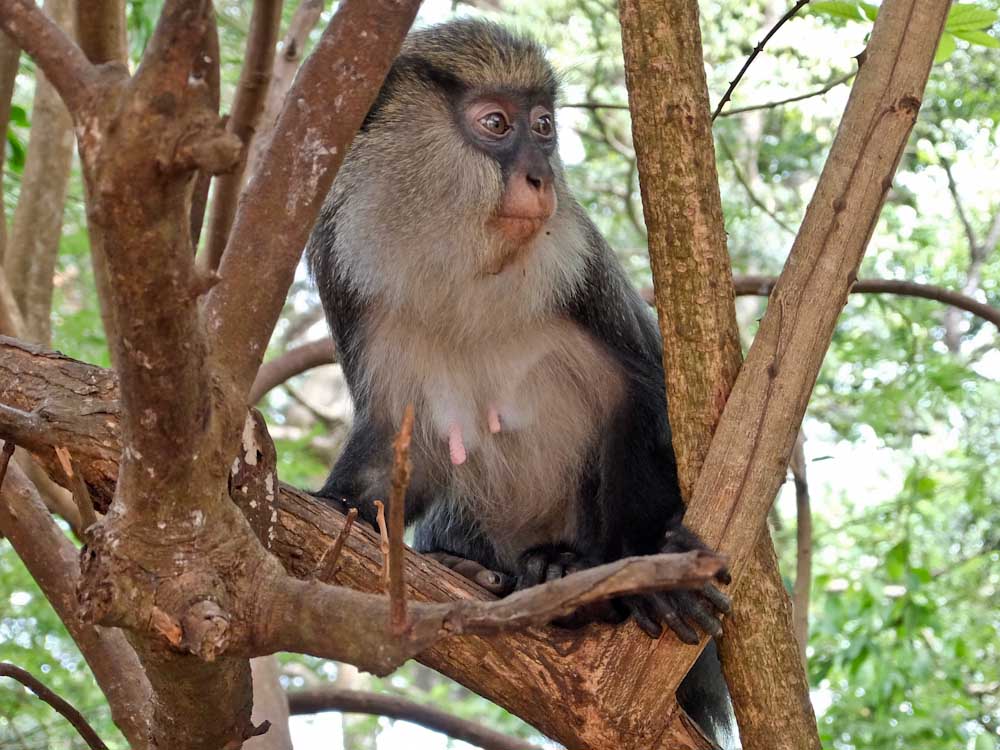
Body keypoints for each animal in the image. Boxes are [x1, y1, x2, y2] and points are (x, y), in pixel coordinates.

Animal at [306, 19, 736, 745]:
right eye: (495, 124)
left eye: (543, 127)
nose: (539, 177)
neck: (460, 263)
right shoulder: (346, 269)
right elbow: (393, 445)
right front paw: (337, 508)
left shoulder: (580, 266)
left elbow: (642, 394)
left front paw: (649, 577)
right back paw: (478, 567)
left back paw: (569, 578)